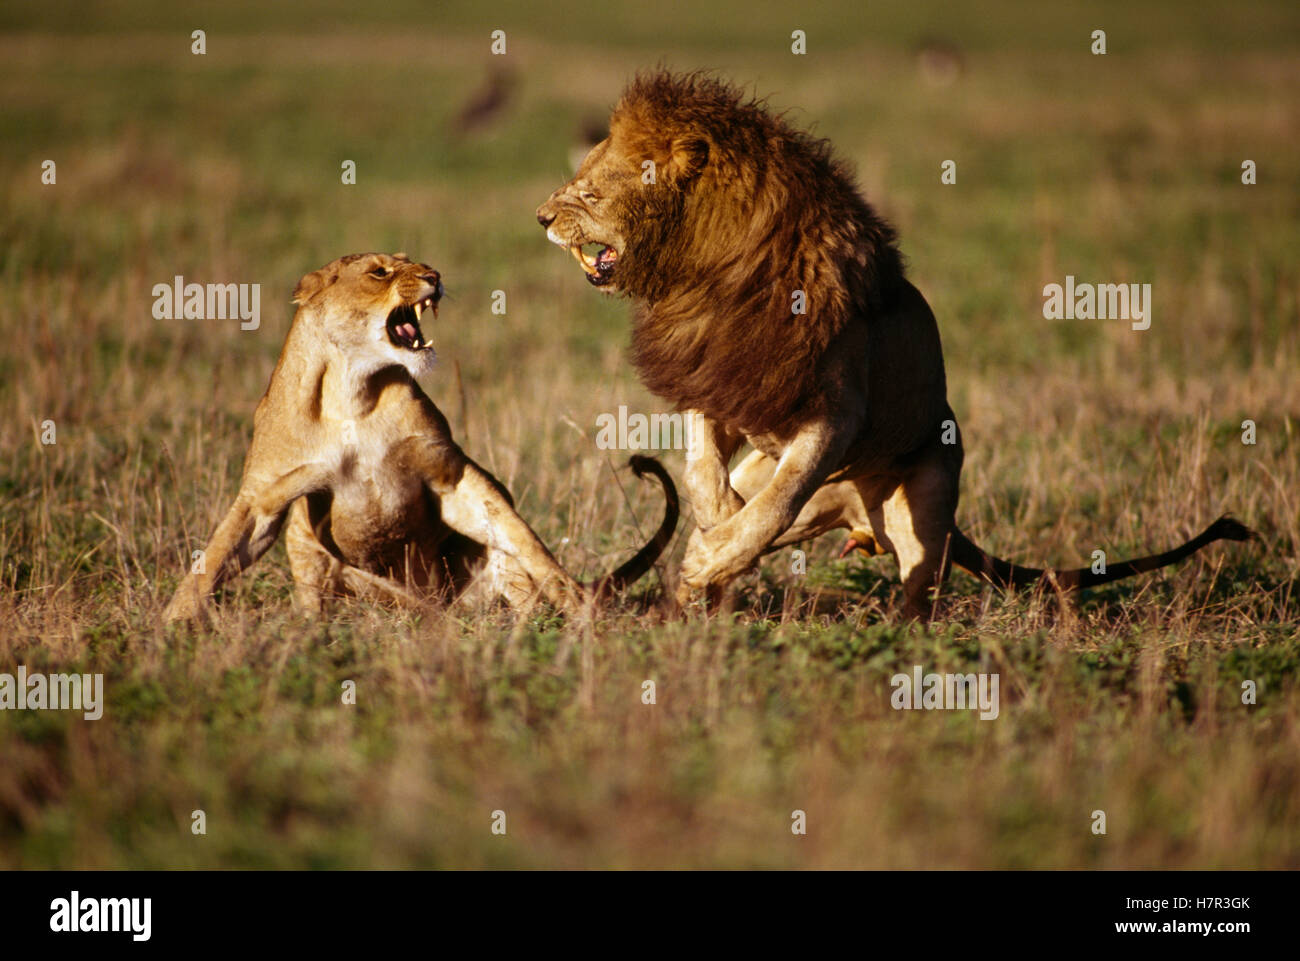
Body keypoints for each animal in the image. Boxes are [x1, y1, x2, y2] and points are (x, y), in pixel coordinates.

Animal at [163, 252, 678, 623]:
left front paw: (578, 605)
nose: (435, 275)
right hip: (309, 545)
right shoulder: (265, 496)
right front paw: (171, 625)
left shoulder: (449, 475)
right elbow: (214, 557)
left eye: (412, 260)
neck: (351, 389)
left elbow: (525, 540)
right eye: (379, 271)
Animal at [536, 71, 1252, 618]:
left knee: (914, 583)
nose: (541, 217)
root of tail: (858, 513)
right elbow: (704, 473)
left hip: (926, 508)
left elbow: (780, 499)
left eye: (592, 188)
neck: (714, 267)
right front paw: (712, 534)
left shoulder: (837, 412)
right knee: (770, 505)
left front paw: (710, 554)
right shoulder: (720, 381)